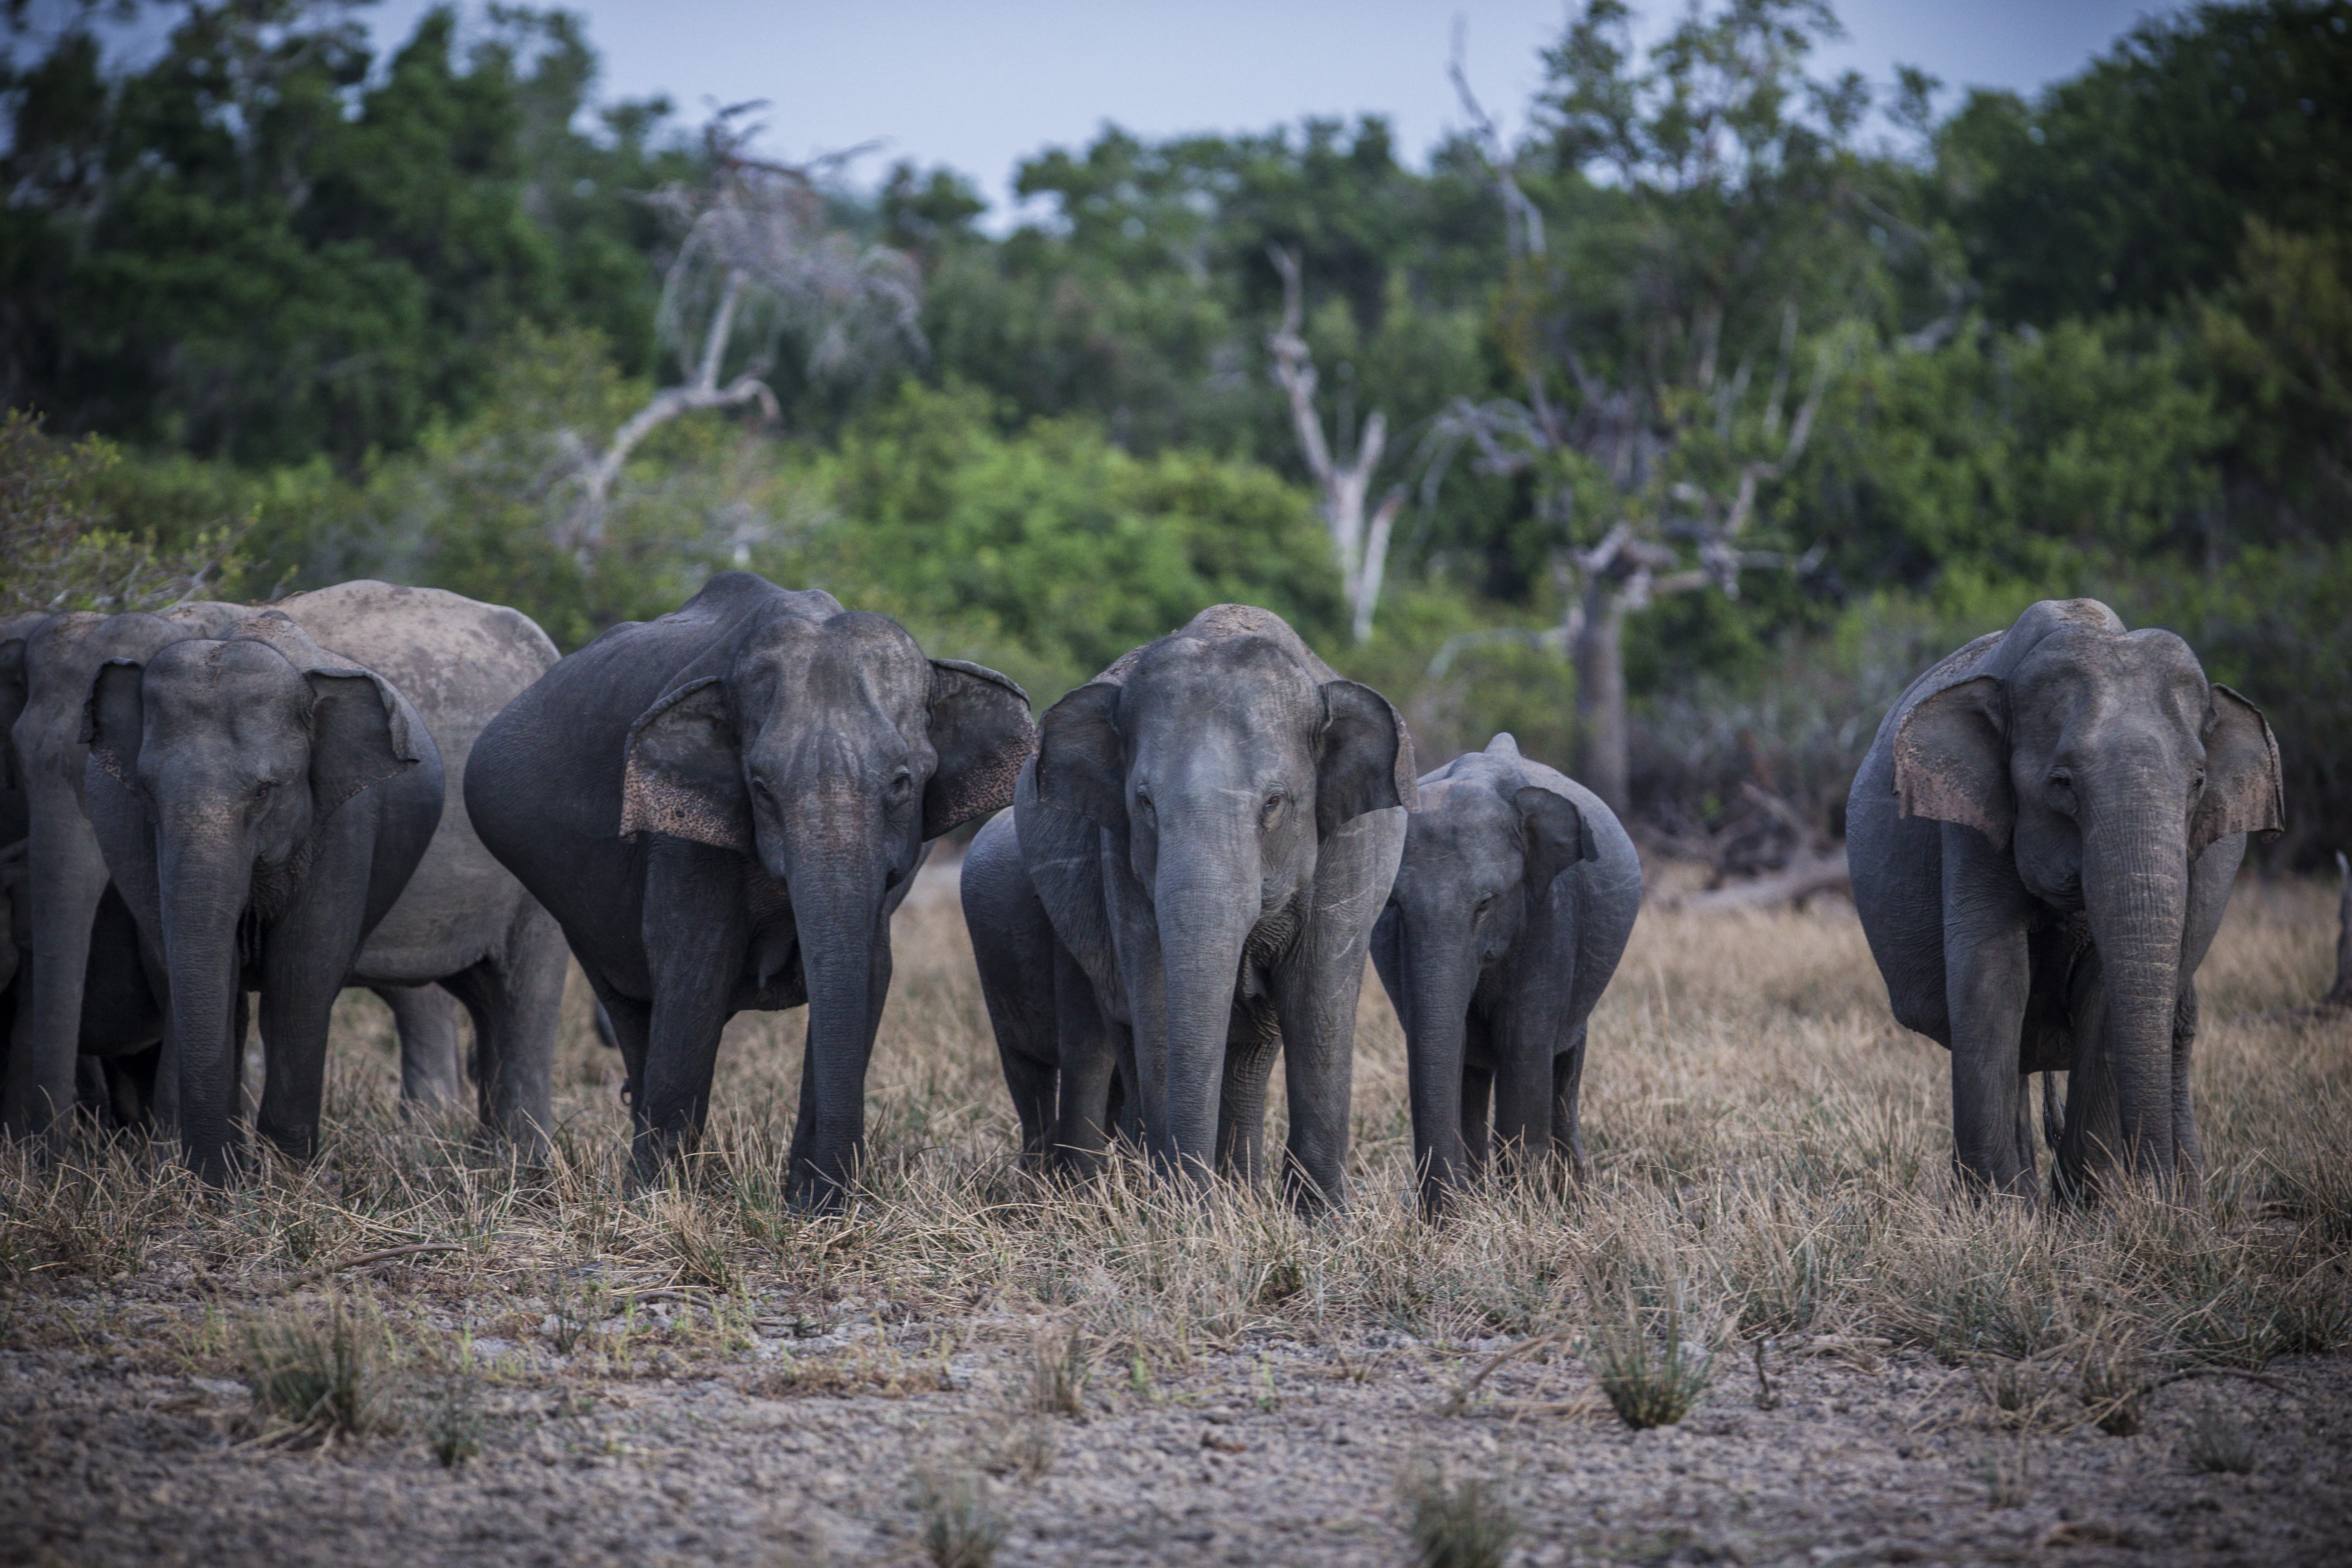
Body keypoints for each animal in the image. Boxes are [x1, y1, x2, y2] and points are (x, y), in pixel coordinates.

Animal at [81, 583, 568, 1178]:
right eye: (148, 791)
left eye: (266, 791)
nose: (214, 1180)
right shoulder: (126, 826)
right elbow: (193, 972)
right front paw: (198, 1175)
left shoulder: (349, 821)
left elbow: (300, 974)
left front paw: (285, 1178)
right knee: (482, 997)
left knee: (524, 991)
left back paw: (523, 1169)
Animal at [464, 572, 1035, 1206]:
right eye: (760, 787)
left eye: (901, 784)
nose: (836, 1197)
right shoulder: (683, 837)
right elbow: (696, 973)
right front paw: (661, 1204)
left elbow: (870, 973)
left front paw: (814, 1208)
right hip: (575, 910)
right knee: (634, 1011)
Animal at [1007, 604, 1415, 1205]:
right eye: (1145, 803)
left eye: (1274, 802)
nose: (1189, 1193)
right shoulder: (1121, 858)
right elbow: (1157, 997)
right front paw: (1181, 1211)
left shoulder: (1351, 845)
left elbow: (1318, 999)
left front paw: (1322, 1220)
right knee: (1128, 1024)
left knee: (1251, 1053)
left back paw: (1241, 1190)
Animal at [1370, 734, 1642, 1214]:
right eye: (1394, 905)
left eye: (1486, 903)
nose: (1437, 1221)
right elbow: (1448, 1043)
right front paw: (1474, 1217)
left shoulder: (1551, 914)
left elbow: (1523, 1042)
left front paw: (1529, 1213)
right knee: (1475, 1070)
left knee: (1564, 1070)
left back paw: (1571, 1203)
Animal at [1846, 599, 2283, 1201]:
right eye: (2061, 783)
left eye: (2198, 783)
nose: (2154, 1190)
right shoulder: (1973, 821)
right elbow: (1992, 976)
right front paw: (2000, 1214)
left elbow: (2105, 990)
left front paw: (2088, 1211)